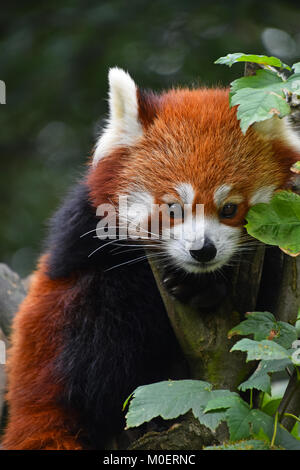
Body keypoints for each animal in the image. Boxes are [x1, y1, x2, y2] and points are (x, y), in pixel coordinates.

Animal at [2, 67, 300, 448]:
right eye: (173, 208)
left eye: (230, 208)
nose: (202, 250)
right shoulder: (80, 230)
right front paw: (196, 286)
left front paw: (205, 289)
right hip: (57, 341)